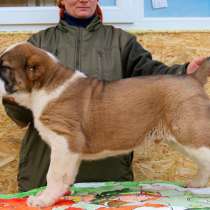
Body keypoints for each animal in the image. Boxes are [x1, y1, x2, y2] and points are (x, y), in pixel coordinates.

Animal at [0, 42, 210, 207]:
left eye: (4, 68)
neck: (45, 85)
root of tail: (192, 78)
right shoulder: (69, 150)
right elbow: (66, 175)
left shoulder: (64, 142)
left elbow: (54, 174)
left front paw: (43, 200)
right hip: (184, 138)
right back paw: (198, 184)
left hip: (189, 133)